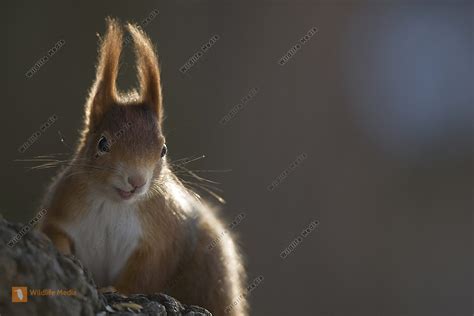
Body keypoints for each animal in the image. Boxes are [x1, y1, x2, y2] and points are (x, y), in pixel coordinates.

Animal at [39, 18, 248, 314]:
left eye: (163, 150)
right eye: (102, 143)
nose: (136, 181)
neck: (114, 204)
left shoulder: (161, 238)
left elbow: (144, 274)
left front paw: (117, 292)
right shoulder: (62, 207)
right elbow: (53, 233)